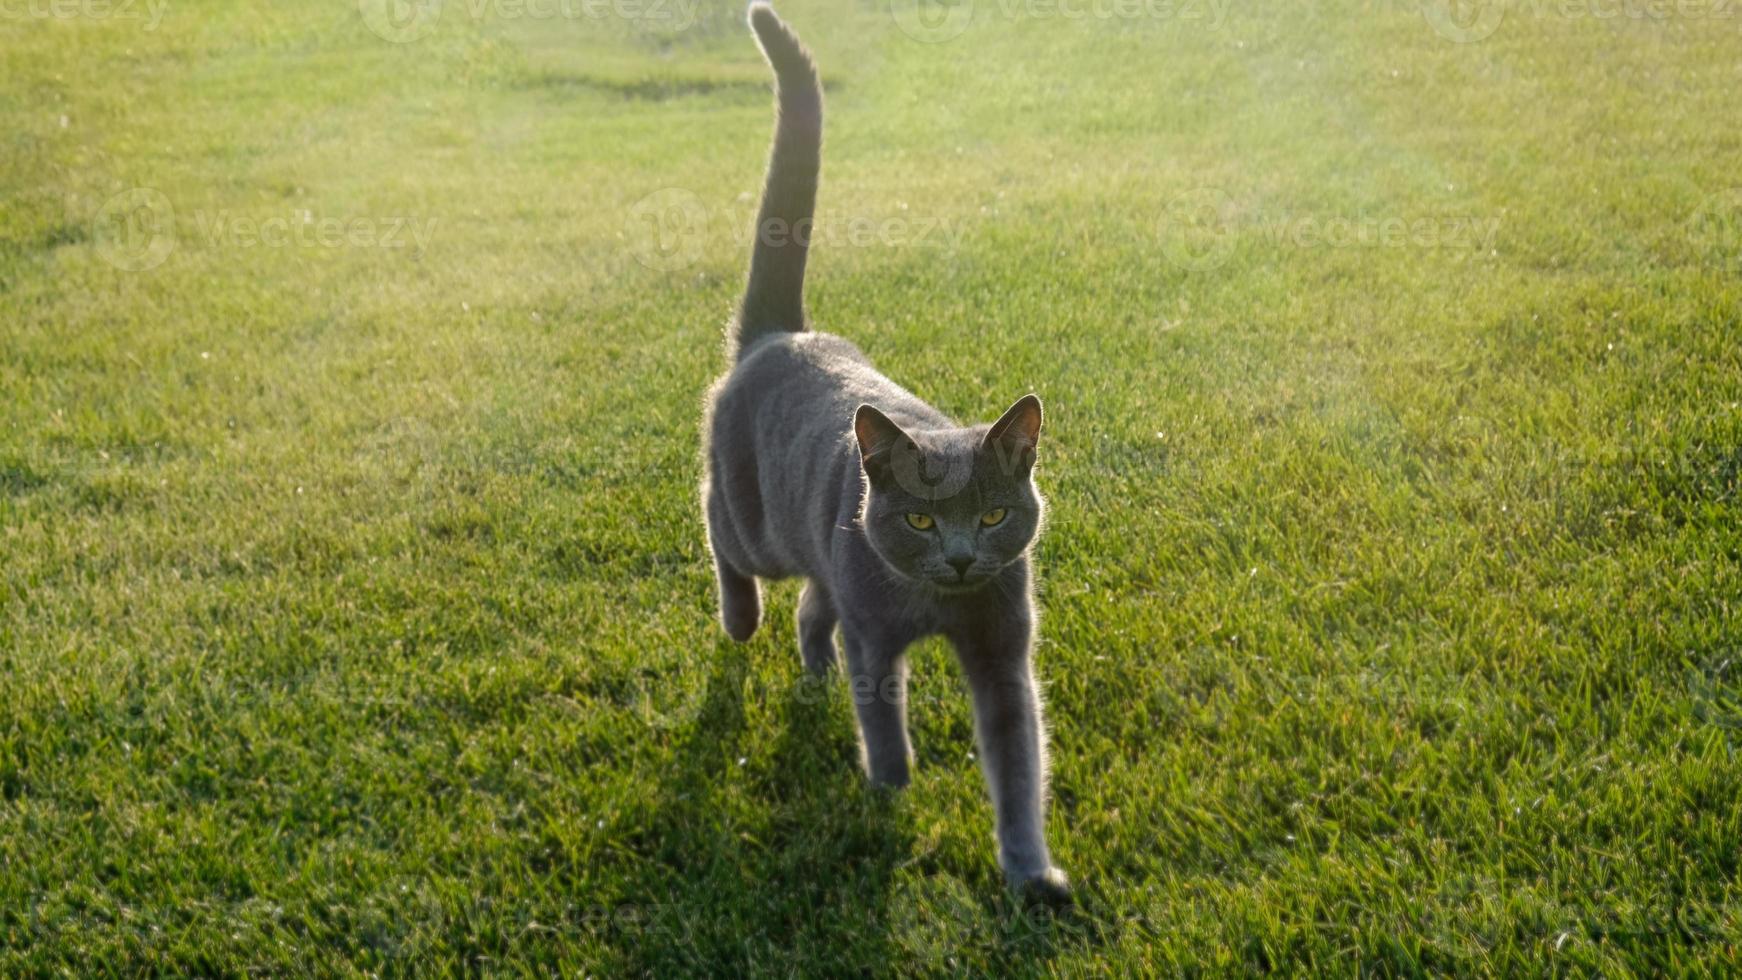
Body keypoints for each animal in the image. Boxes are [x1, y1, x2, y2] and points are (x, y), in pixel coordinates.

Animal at [700, 3, 1066, 905]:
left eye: (994, 515)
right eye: (923, 521)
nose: (964, 557)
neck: (939, 607)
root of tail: (779, 334)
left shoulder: (1004, 651)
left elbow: (1018, 762)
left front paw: (1030, 871)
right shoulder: (876, 639)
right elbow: (884, 720)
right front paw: (892, 793)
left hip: (827, 555)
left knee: (811, 607)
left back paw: (809, 668)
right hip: (755, 523)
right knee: (720, 533)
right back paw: (740, 619)